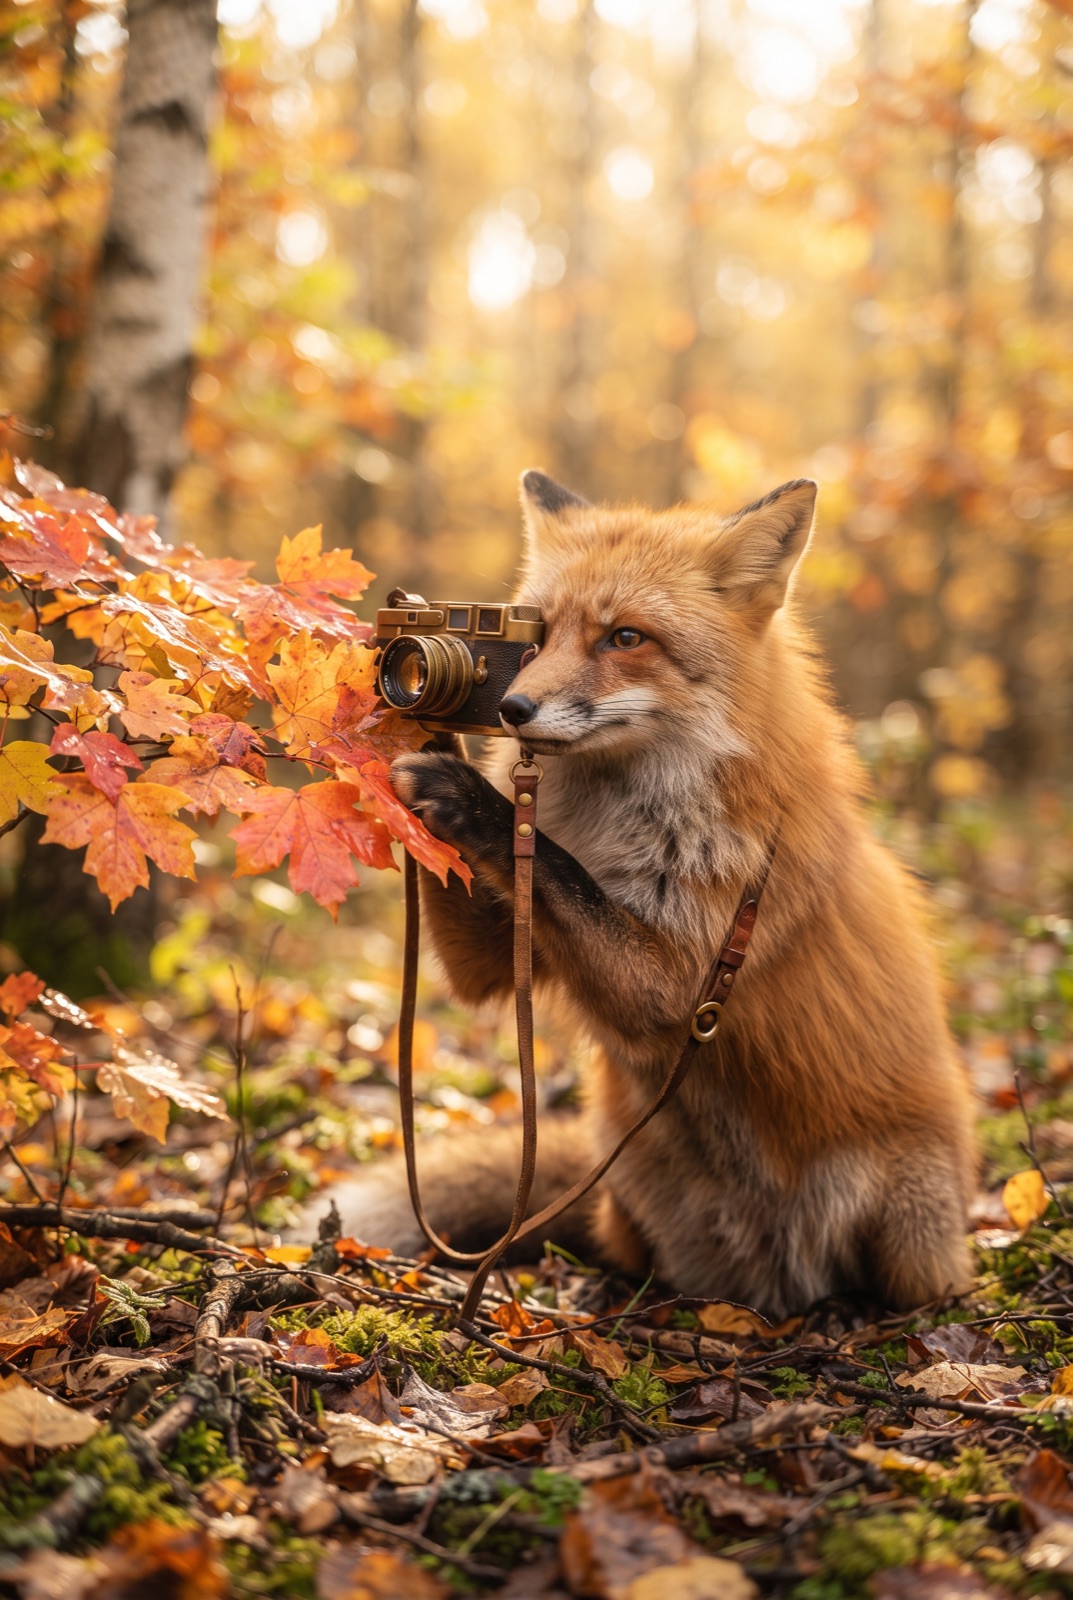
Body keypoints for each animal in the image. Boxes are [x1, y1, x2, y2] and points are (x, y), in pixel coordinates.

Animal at [339, 470, 977, 1319]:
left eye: (625, 639)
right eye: (533, 636)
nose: (508, 709)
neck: (620, 823)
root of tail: (773, 1291)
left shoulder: (685, 977)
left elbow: (561, 872)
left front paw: (472, 794)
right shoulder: (504, 953)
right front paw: (422, 730)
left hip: (907, 1226)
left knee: (912, 1288)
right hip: (631, 1189)